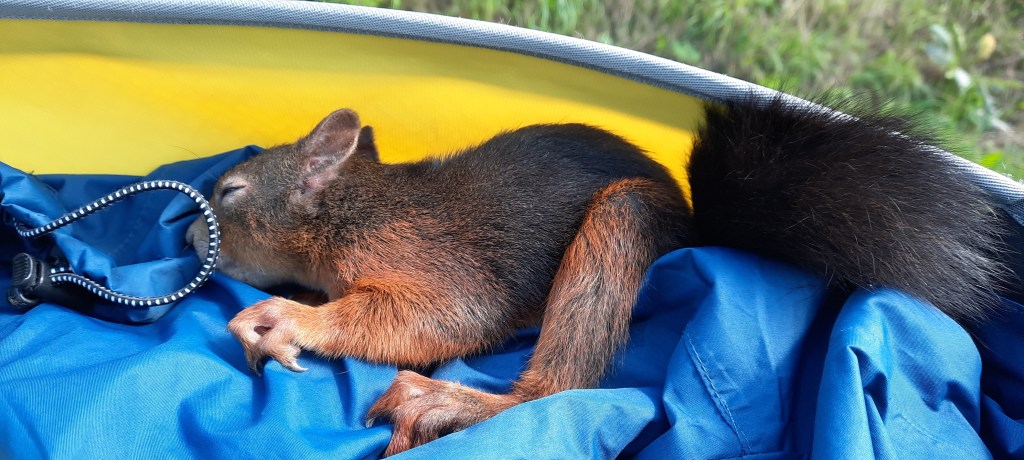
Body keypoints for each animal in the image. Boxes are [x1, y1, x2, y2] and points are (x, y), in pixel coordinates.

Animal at [186, 94, 1009, 456]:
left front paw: (286, 319)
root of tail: (697, 226)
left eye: (230, 192)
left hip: (622, 222)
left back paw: (450, 404)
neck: (351, 210)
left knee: (557, 390)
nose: (189, 234)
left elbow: (444, 316)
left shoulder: (431, 259)